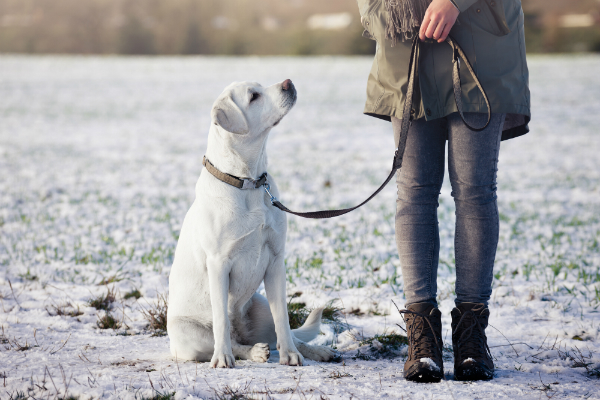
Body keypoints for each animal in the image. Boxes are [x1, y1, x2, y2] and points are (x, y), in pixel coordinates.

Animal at [168, 79, 338, 368]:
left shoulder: (276, 260)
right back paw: (252, 352)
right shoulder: (218, 264)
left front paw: (291, 355)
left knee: (285, 333)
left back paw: (313, 351)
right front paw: (222, 359)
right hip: (188, 335)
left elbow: (283, 320)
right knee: (232, 341)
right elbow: (221, 324)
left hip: (260, 305)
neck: (248, 181)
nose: (288, 82)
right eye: (254, 96)